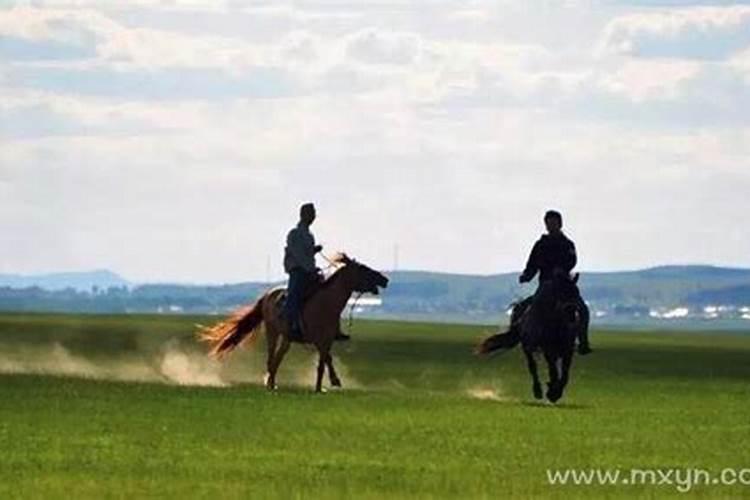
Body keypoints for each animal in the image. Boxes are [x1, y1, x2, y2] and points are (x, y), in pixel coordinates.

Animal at [197, 256, 390, 392]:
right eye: (364, 269)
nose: (385, 279)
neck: (326, 303)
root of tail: (268, 295)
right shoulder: (318, 340)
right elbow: (324, 360)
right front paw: (327, 384)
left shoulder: (327, 340)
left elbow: (325, 360)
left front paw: (326, 385)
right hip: (272, 332)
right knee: (271, 357)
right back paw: (270, 383)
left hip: (287, 338)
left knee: (278, 357)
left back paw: (272, 383)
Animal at [482, 274, 588, 402]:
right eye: (562, 292)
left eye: (576, 292)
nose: (571, 310)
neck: (558, 326)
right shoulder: (548, 351)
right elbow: (553, 371)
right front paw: (552, 393)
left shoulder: (568, 352)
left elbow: (564, 375)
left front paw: (555, 392)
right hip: (527, 348)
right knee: (533, 367)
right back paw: (537, 391)